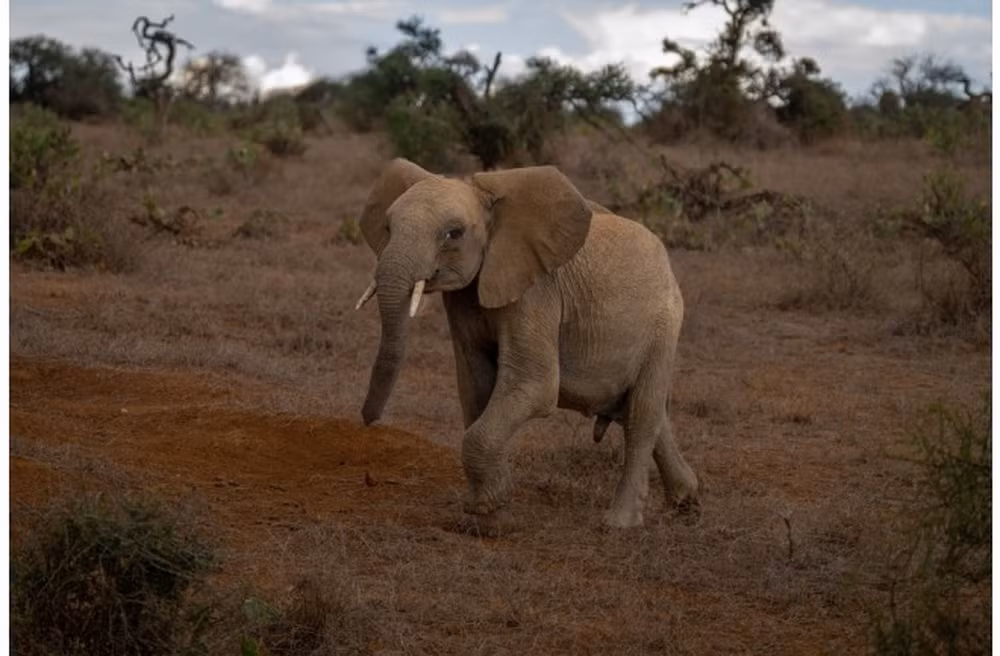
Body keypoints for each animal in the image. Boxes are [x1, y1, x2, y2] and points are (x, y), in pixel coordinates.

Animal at [355, 158, 698, 530]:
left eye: (454, 233)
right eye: (387, 227)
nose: (368, 421)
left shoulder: (537, 291)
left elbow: (534, 384)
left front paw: (487, 508)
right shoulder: (466, 298)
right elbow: (477, 386)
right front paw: (492, 516)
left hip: (665, 323)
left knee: (642, 415)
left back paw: (619, 524)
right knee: (645, 411)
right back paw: (687, 501)